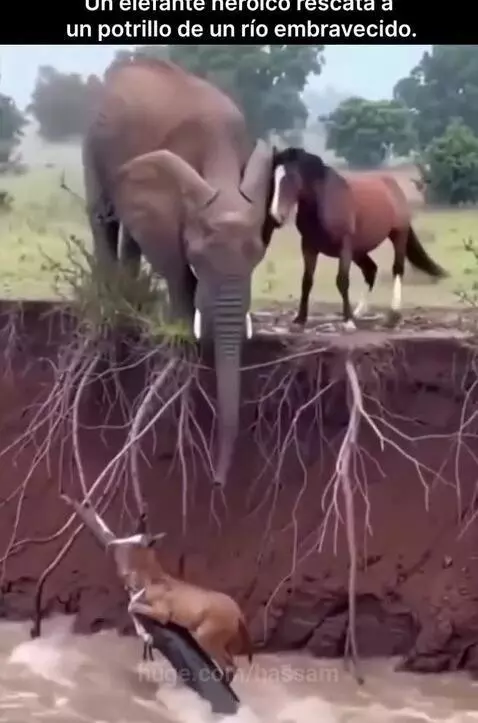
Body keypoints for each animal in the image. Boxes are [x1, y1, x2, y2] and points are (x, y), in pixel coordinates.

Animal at [82, 57, 275, 487]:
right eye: (199, 258)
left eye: (258, 256)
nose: (217, 480)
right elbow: (174, 264)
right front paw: (182, 332)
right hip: (93, 144)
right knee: (103, 219)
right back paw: (114, 306)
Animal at [268, 147, 449, 330]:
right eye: (273, 178)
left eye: (290, 177)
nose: (276, 216)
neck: (324, 201)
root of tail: (393, 186)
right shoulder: (308, 246)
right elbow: (306, 281)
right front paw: (300, 319)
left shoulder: (345, 247)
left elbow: (342, 281)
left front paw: (348, 321)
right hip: (359, 251)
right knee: (371, 270)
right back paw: (359, 312)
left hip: (398, 235)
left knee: (397, 269)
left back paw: (393, 315)